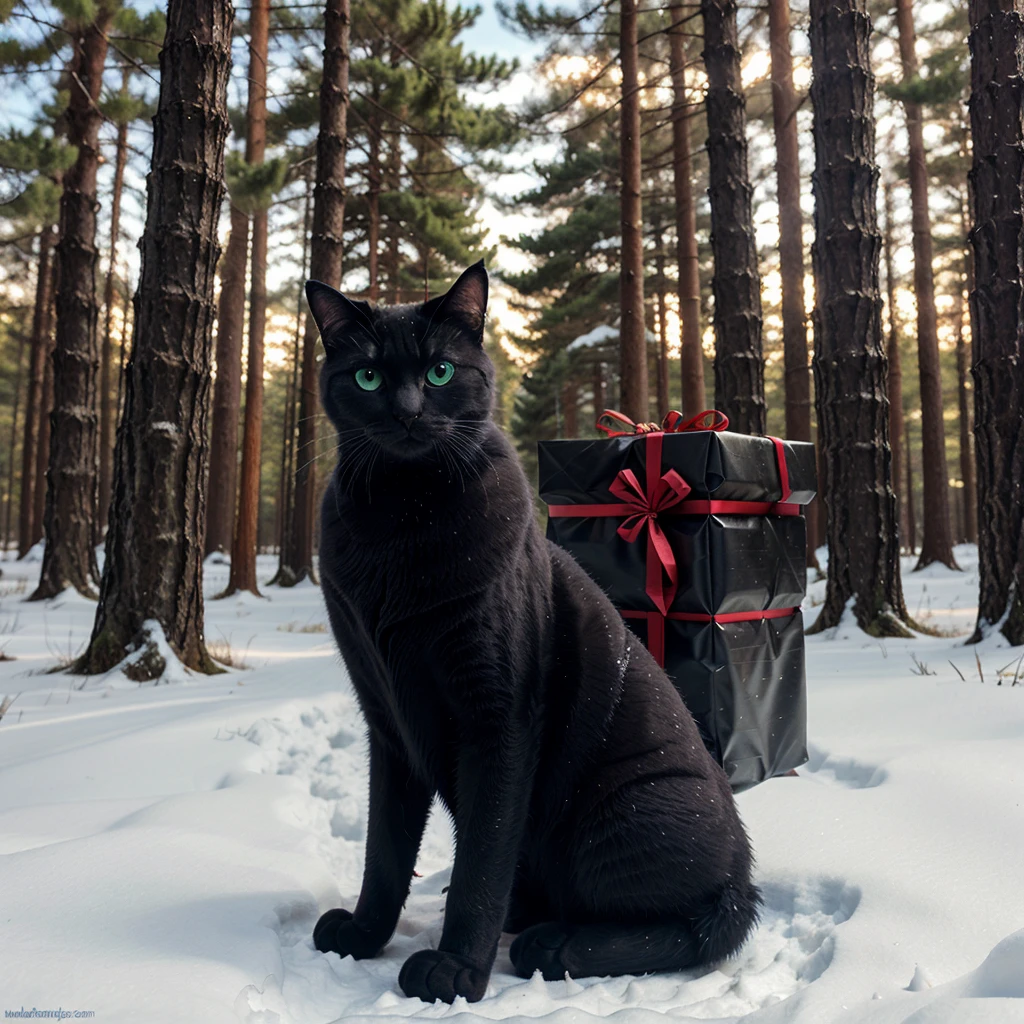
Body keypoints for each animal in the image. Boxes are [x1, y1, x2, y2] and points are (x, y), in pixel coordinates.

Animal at [303, 260, 761, 1003]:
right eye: (368, 376)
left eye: (439, 370)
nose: (409, 410)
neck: (401, 519)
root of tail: (743, 875)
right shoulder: (388, 723)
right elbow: (385, 850)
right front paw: (365, 934)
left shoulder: (499, 715)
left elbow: (484, 853)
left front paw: (456, 971)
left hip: (620, 811)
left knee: (689, 928)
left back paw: (553, 943)